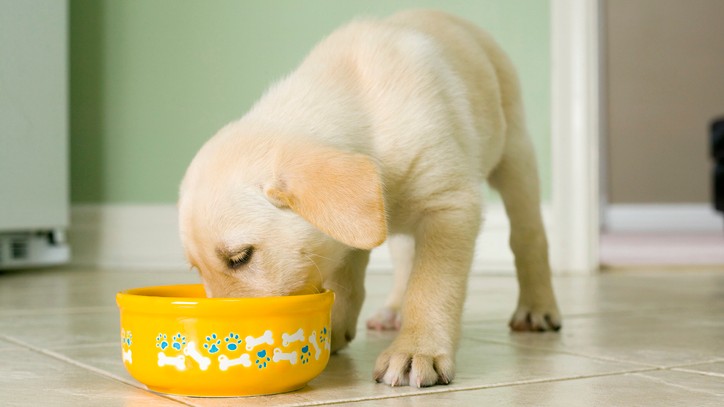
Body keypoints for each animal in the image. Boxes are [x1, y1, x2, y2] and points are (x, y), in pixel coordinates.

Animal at [178, 9, 564, 388]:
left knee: (528, 235)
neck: (364, 116)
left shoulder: (449, 206)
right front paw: (332, 330)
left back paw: (537, 307)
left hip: (515, 155)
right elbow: (347, 278)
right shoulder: (357, 222)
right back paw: (392, 311)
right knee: (406, 258)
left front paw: (416, 349)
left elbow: (432, 284)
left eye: (241, 257)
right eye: (198, 269)